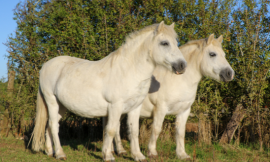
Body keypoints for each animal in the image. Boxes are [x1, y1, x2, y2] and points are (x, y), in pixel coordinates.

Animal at [29, 21, 186, 162]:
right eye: (164, 43)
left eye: (176, 42)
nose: (182, 65)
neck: (128, 71)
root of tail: (45, 66)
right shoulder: (115, 106)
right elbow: (110, 130)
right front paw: (108, 156)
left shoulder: (135, 108)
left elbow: (134, 131)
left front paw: (138, 156)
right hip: (52, 101)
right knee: (53, 125)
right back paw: (60, 154)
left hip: (61, 106)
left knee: (49, 126)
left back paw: (50, 152)